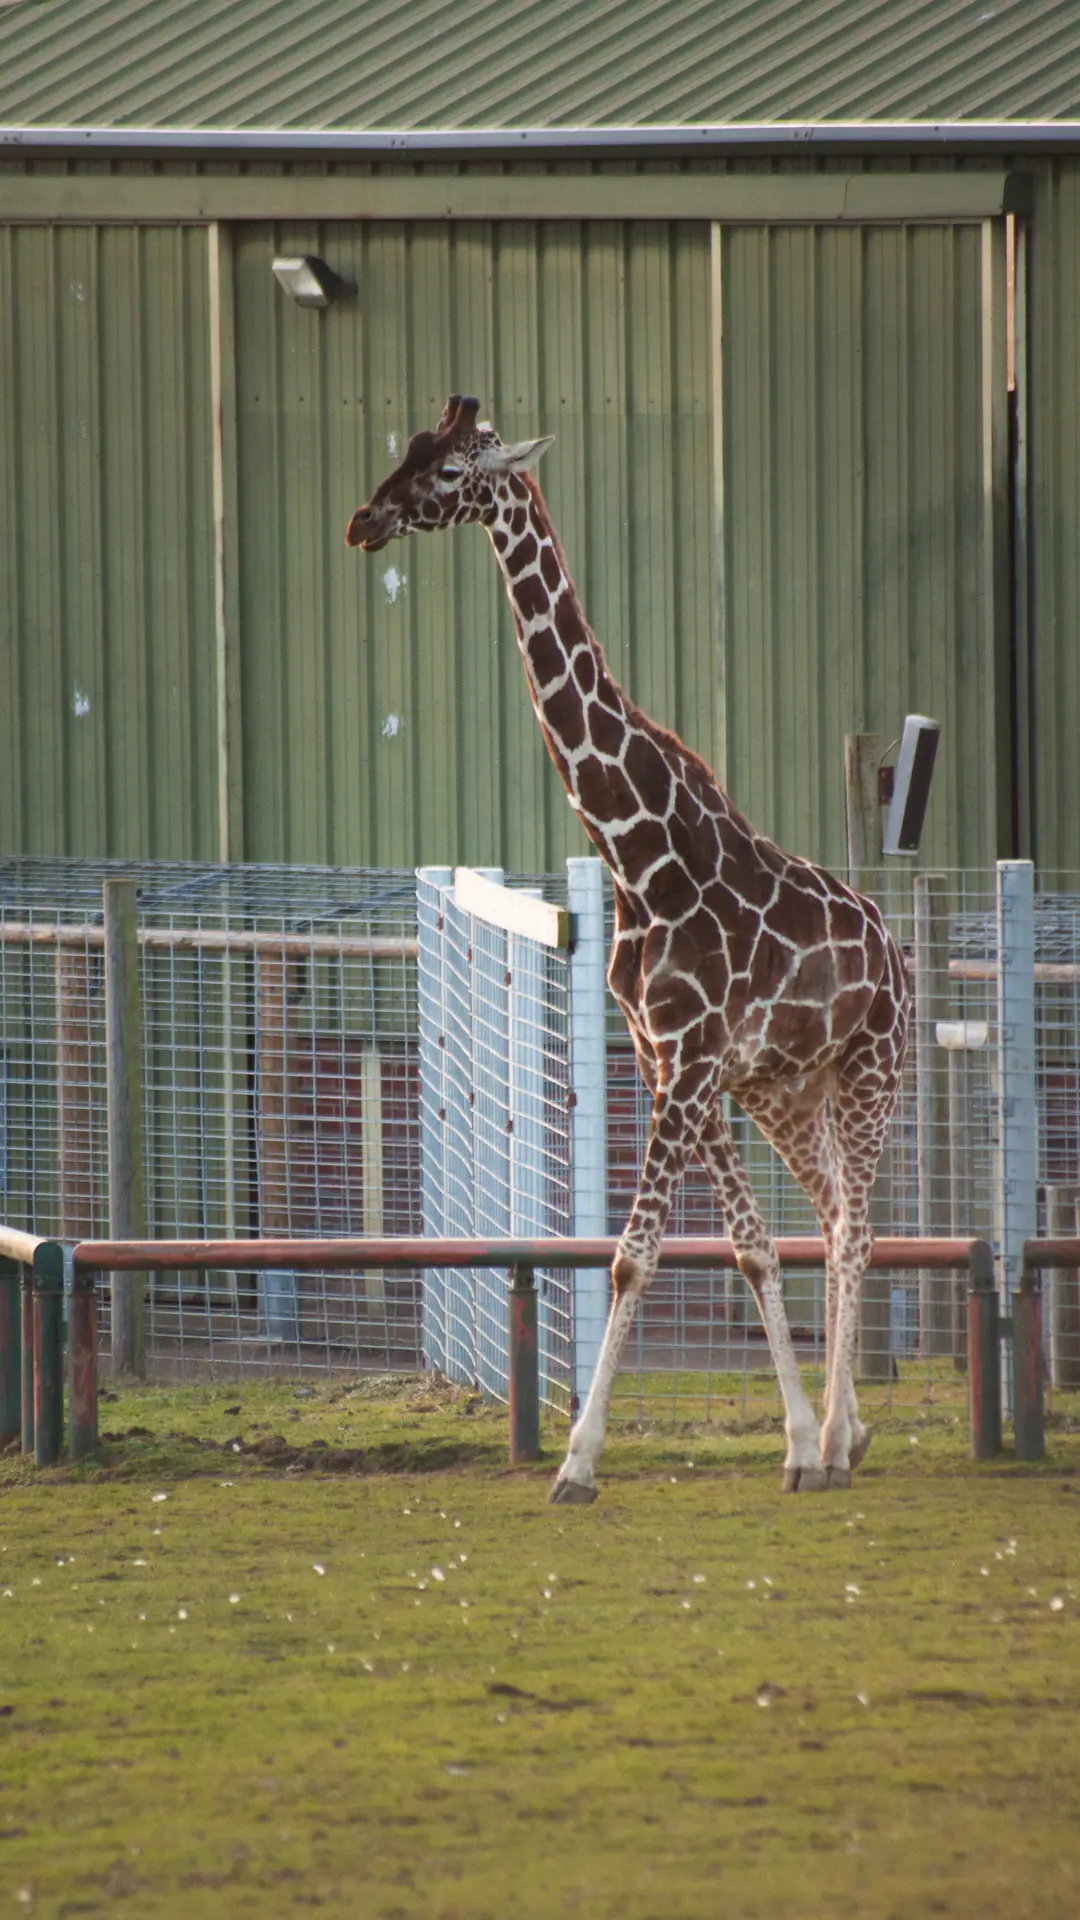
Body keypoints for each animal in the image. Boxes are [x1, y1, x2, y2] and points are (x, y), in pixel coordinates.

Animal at [347, 395, 910, 1504]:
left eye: (448, 472)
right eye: (407, 449)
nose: (364, 521)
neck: (637, 852)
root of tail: (898, 957)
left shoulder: (688, 1067)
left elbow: (633, 1257)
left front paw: (576, 1462)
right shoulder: (670, 1062)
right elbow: (748, 1247)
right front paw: (790, 1439)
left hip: (870, 1071)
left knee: (860, 1229)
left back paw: (838, 1443)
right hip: (788, 1092)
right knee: (829, 1219)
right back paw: (844, 1436)